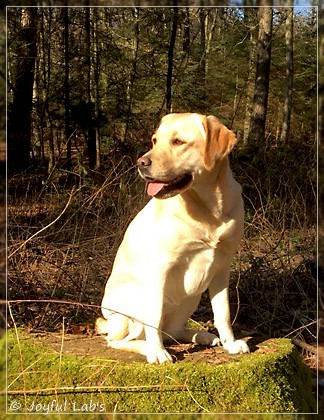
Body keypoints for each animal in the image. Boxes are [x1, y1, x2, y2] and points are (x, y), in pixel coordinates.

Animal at [95, 113, 249, 362]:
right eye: (155, 140)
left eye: (178, 142)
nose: (141, 163)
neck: (209, 210)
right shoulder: (160, 269)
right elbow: (154, 318)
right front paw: (157, 352)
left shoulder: (222, 268)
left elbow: (223, 312)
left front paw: (231, 343)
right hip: (134, 301)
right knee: (119, 340)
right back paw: (148, 347)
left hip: (191, 296)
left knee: (173, 332)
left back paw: (202, 336)